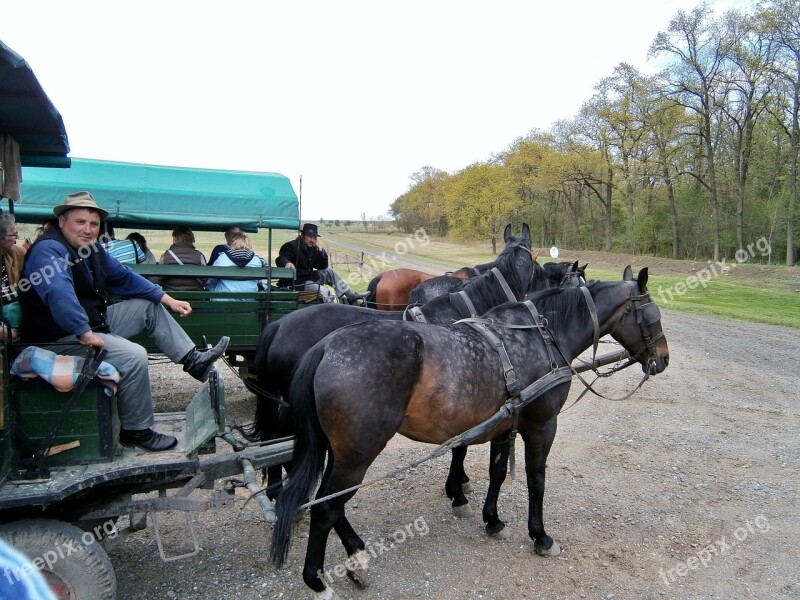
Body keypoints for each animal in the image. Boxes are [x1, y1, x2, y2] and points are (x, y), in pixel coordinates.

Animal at [270, 270, 668, 596]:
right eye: (653, 315)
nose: (662, 360)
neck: (542, 335)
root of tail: (326, 347)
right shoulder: (542, 426)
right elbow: (536, 481)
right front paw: (540, 536)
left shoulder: (505, 424)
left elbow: (496, 472)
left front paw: (491, 519)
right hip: (357, 453)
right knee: (326, 508)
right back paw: (317, 578)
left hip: (341, 451)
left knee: (328, 502)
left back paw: (355, 553)